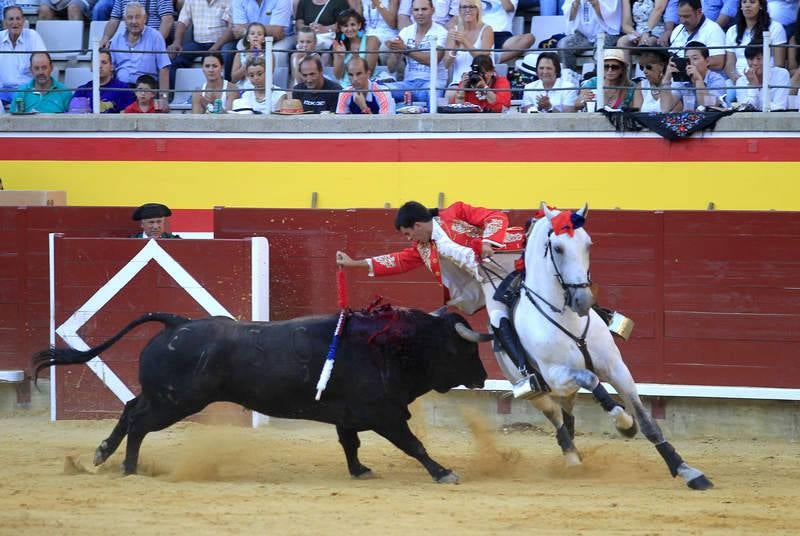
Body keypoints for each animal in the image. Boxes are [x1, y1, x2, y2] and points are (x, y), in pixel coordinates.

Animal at [32, 308, 488, 484]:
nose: (484, 377)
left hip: (165, 397)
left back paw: (102, 454)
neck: (392, 347)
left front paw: (360, 471)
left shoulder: (347, 416)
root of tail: (177, 321)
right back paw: (128, 466)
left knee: (130, 409)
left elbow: (350, 445)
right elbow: (414, 444)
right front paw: (444, 472)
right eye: (463, 350)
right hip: (176, 402)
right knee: (140, 421)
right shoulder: (385, 415)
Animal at [512, 202, 712, 490]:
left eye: (588, 244)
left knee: (567, 416)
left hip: (564, 392)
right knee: (557, 418)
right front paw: (624, 423)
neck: (568, 319)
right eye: (558, 248)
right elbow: (593, 381)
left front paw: (687, 470)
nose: (583, 300)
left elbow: (648, 422)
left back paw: (574, 455)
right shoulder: (556, 374)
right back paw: (572, 458)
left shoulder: (617, 367)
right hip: (535, 391)